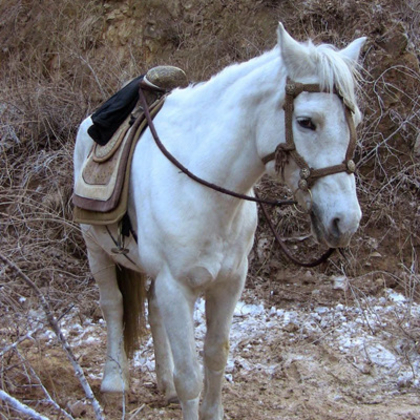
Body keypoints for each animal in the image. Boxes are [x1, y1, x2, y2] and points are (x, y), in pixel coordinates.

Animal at [75, 23, 368, 420]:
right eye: (307, 122)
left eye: (355, 121)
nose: (345, 221)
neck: (201, 185)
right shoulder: (176, 286)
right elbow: (189, 377)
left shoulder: (229, 283)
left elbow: (215, 356)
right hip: (96, 250)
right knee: (113, 306)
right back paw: (114, 382)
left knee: (151, 308)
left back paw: (163, 383)